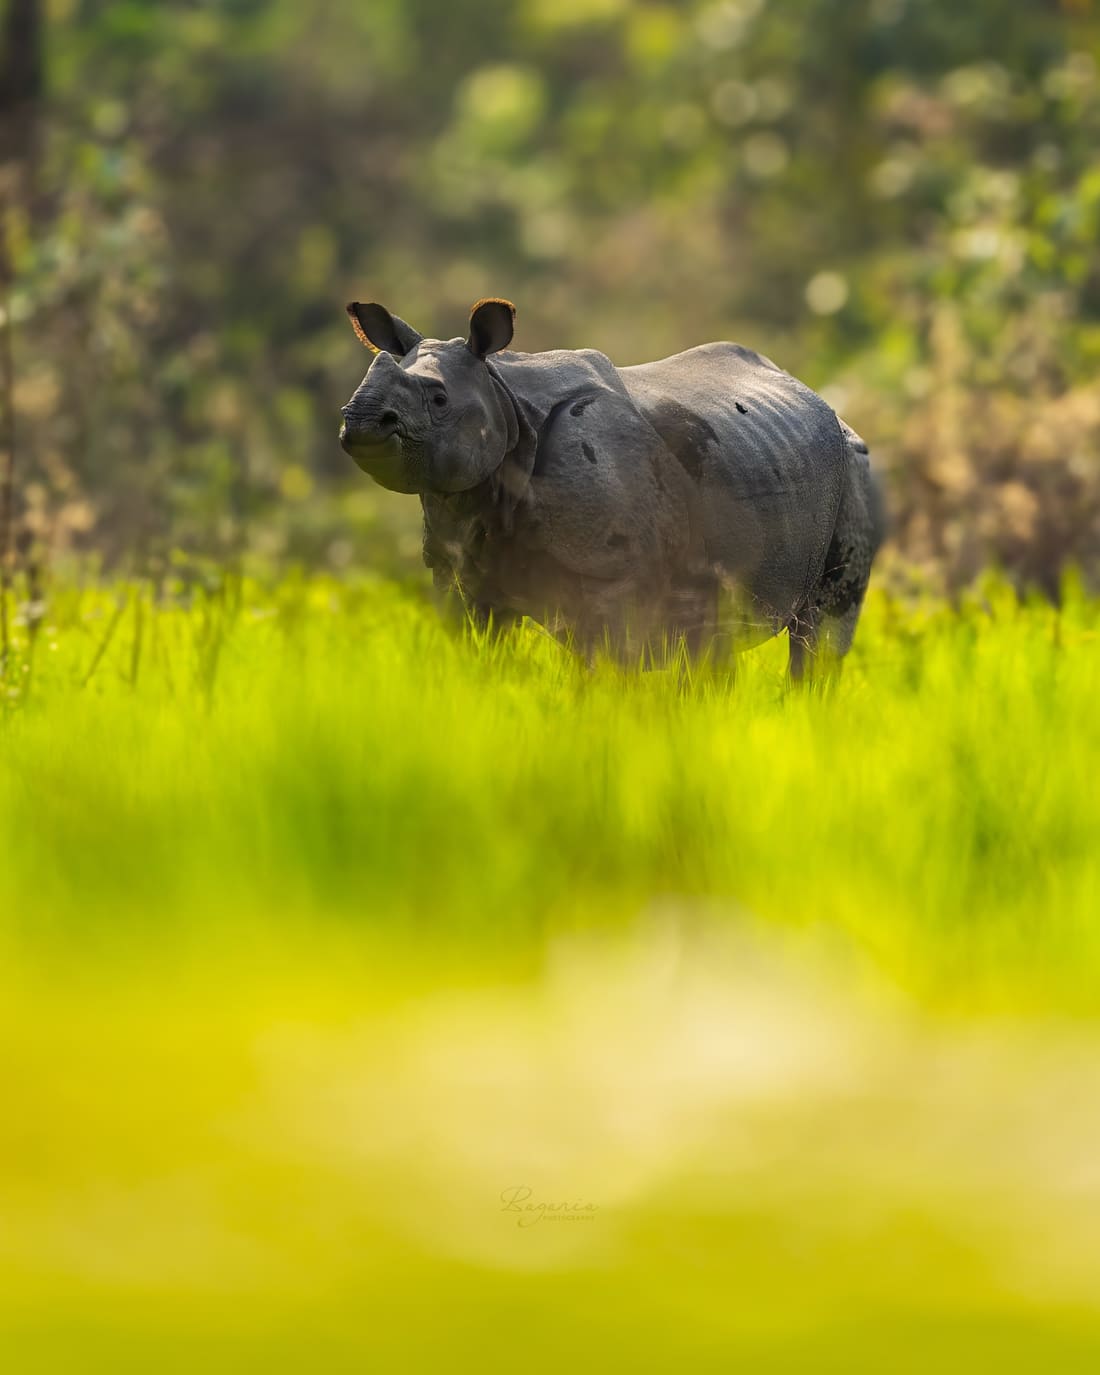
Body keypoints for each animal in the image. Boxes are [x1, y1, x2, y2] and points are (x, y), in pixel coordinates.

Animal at [339, 298, 883, 676]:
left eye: (438, 399)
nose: (360, 418)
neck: (503, 395)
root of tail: (819, 399)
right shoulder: (458, 569)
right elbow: (476, 658)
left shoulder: (612, 578)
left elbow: (602, 671)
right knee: (711, 639)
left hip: (854, 465)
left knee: (821, 634)